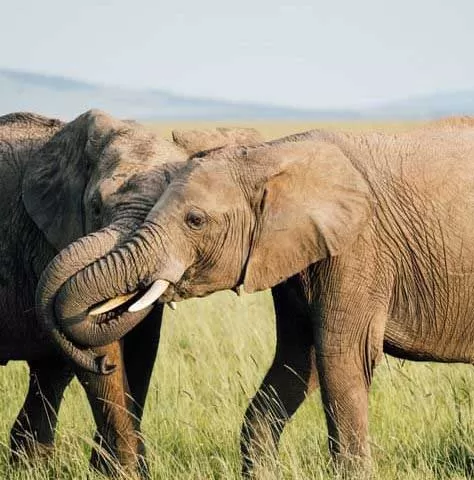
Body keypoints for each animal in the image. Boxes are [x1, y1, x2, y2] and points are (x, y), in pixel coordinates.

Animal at [0, 111, 262, 476]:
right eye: (95, 207)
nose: (105, 366)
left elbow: (141, 347)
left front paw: (117, 471)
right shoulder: (48, 237)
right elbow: (101, 342)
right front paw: (123, 473)